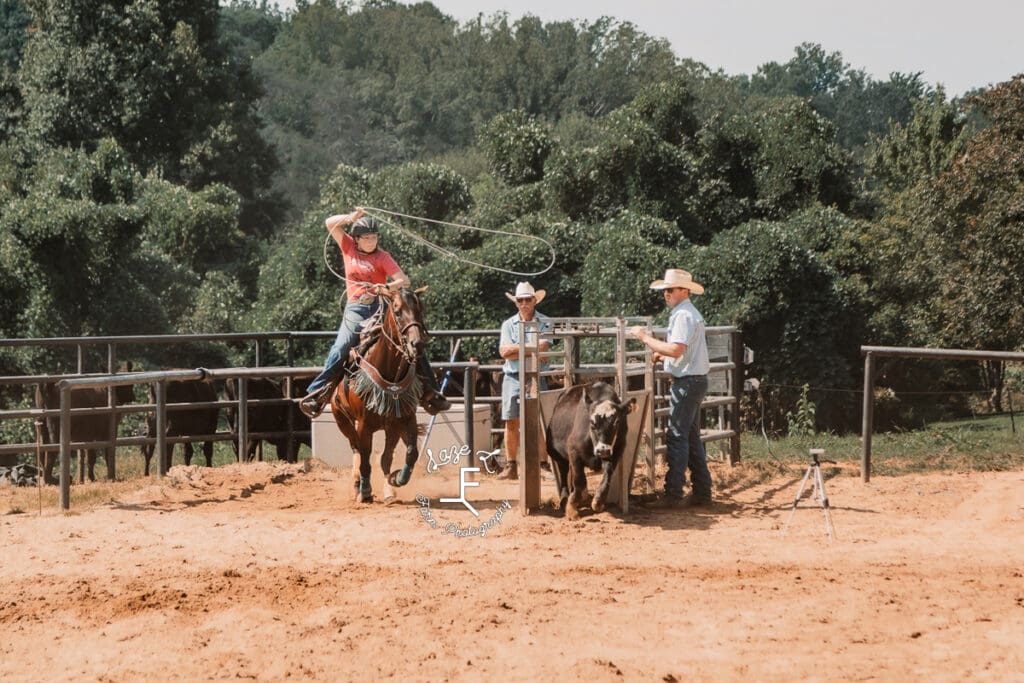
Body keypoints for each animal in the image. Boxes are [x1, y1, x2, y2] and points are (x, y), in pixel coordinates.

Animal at [325, 286, 425, 505]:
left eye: (419, 310)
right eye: (397, 312)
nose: (416, 344)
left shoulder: (404, 420)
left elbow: (407, 453)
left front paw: (396, 480)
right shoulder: (364, 425)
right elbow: (365, 458)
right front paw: (366, 491)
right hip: (342, 420)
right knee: (356, 449)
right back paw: (358, 486)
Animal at [544, 382, 630, 520]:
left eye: (616, 422)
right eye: (592, 423)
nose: (602, 450)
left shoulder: (616, 452)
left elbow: (607, 477)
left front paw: (598, 501)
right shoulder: (574, 451)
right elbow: (579, 480)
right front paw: (572, 508)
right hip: (559, 457)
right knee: (564, 474)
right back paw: (564, 499)